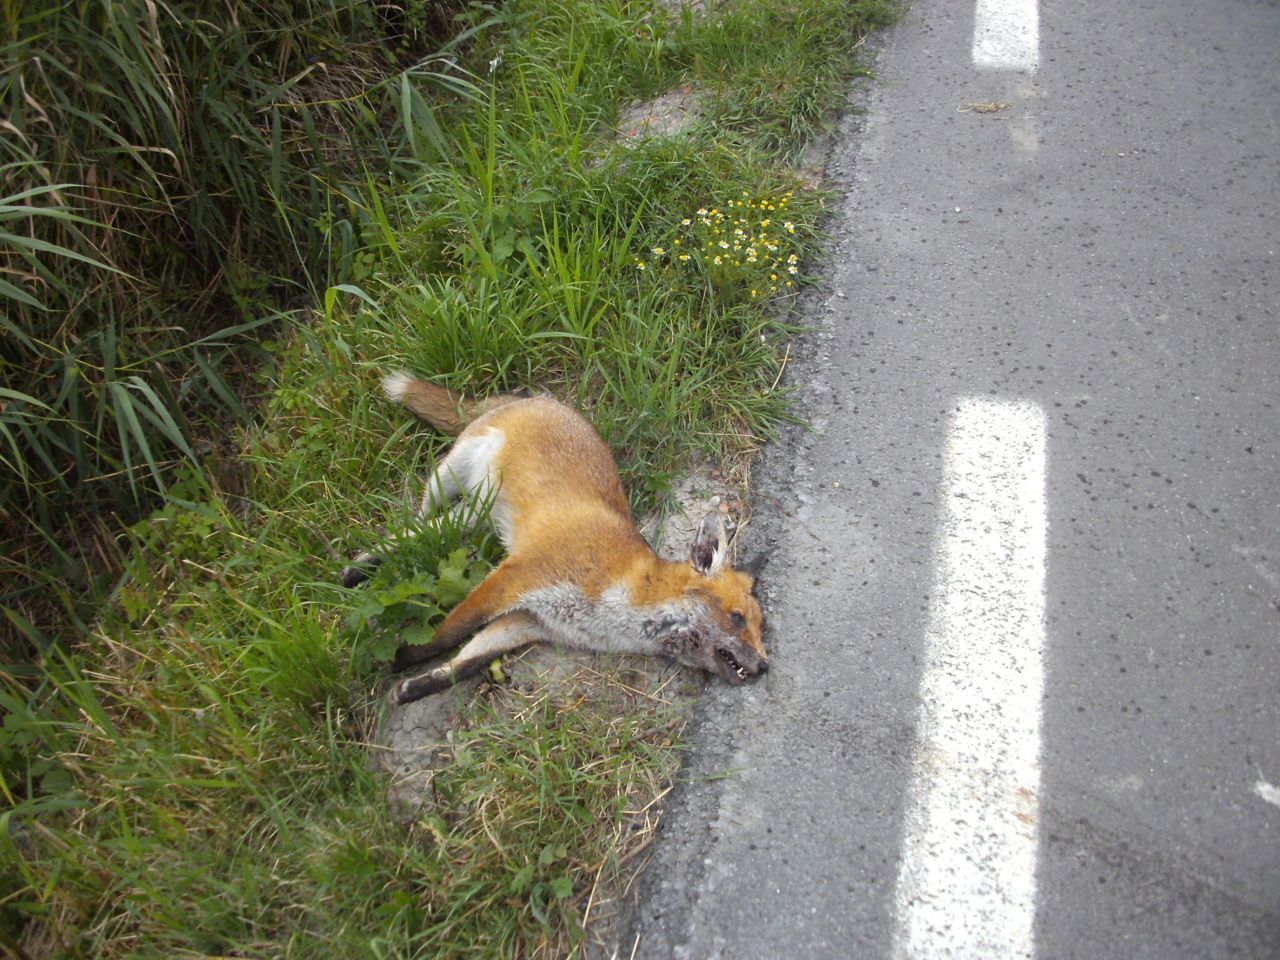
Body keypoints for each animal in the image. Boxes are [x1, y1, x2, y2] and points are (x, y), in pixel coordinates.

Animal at [337, 371, 768, 701]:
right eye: (736, 618)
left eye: (761, 628)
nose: (765, 665)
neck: (622, 602)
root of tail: (542, 399)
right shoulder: (515, 578)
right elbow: (448, 634)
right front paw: (400, 658)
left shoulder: (528, 622)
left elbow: (466, 661)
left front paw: (415, 686)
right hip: (449, 476)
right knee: (414, 523)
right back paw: (364, 566)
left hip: (472, 515)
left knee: (419, 533)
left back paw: (361, 568)